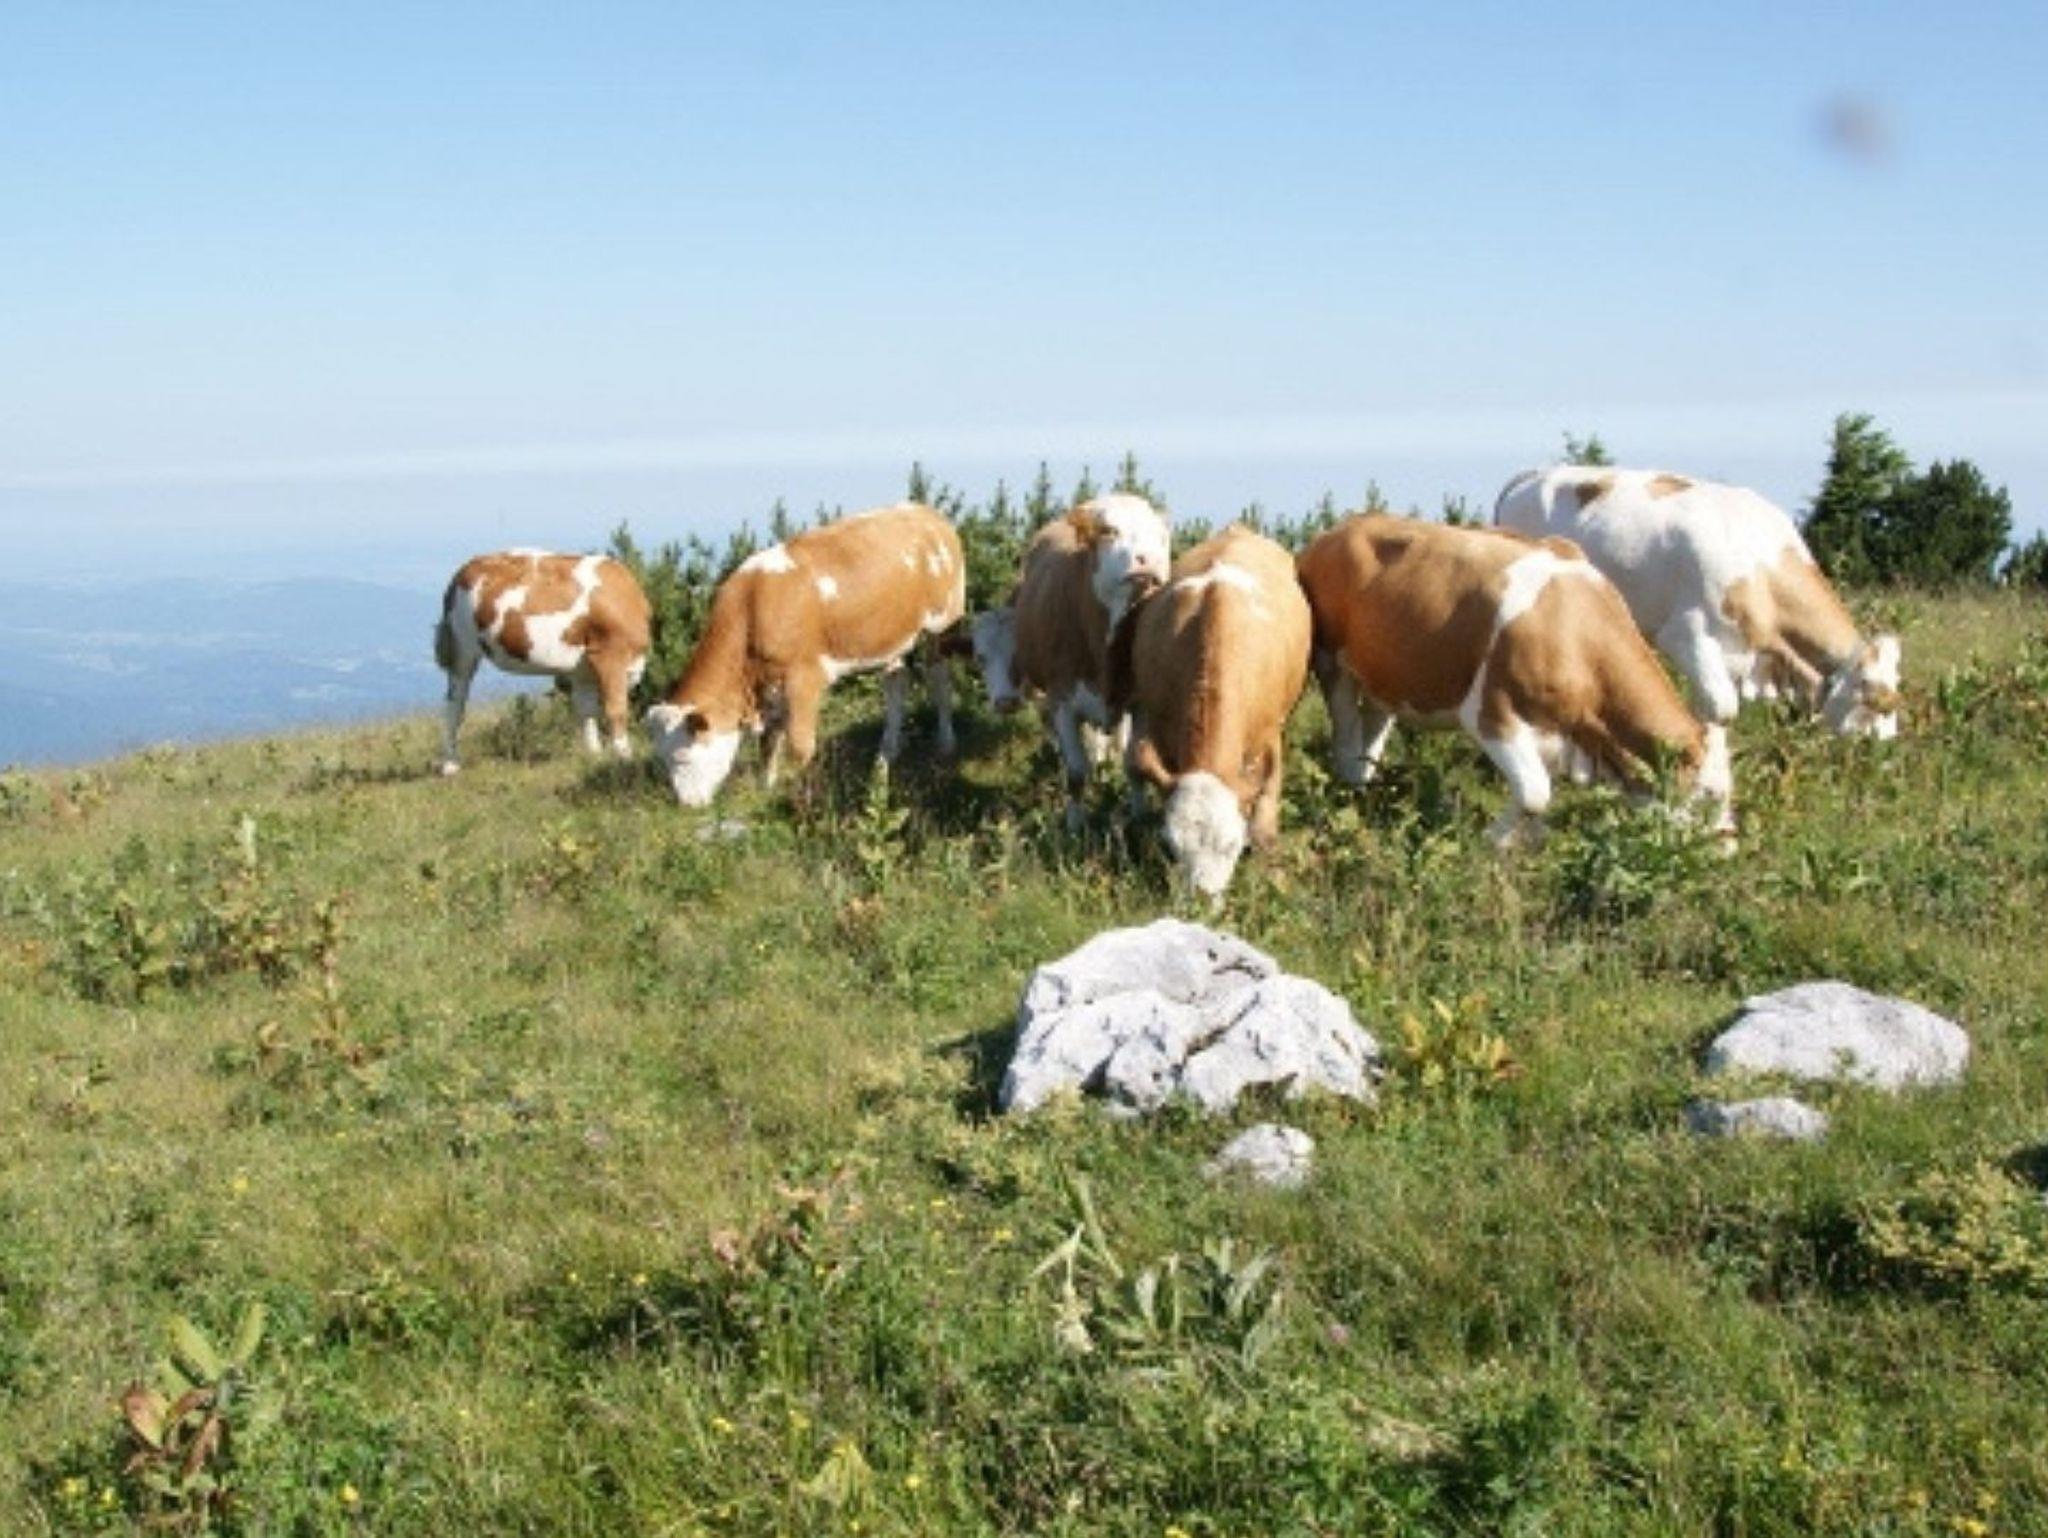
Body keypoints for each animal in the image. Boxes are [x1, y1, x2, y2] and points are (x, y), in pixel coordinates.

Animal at [434, 550, 652, 775]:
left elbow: (587, 711)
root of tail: (464, 568)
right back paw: (450, 765)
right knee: (456, 703)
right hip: (462, 648)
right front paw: (625, 760)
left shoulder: (584, 670)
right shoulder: (610, 655)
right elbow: (616, 710)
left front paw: (594, 757)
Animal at [645, 502, 965, 807]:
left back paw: (946, 741)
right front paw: (766, 789)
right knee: (896, 683)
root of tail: (927, 513)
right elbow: (768, 743)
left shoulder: (804, 678)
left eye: (683, 758)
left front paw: (801, 791)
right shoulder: (768, 686)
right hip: (891, 636)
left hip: (942, 622)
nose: (687, 805)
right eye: (663, 760)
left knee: (940, 680)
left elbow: (799, 746)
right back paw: (887, 751)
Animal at [957, 494, 1171, 832]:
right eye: (1109, 531)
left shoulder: (1138, 704)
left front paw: (1138, 819)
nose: (1147, 559)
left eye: (1161, 537)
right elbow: (1076, 771)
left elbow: (1133, 764)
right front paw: (1074, 826)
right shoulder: (1060, 701)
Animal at [1107, 525, 1312, 899]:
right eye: (1171, 846)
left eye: (1232, 846)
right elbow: (1138, 767)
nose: (1200, 901)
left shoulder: (1270, 736)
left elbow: (1266, 810)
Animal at [1295, 515, 1733, 847]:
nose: (1727, 853)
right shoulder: (1492, 712)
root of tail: (1339, 530)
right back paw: (1348, 790)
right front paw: (1491, 843)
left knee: (1373, 730)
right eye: (1707, 798)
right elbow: (1536, 793)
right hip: (1333, 665)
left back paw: (1365, 790)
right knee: (1346, 738)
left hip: (1386, 676)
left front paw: (1525, 845)